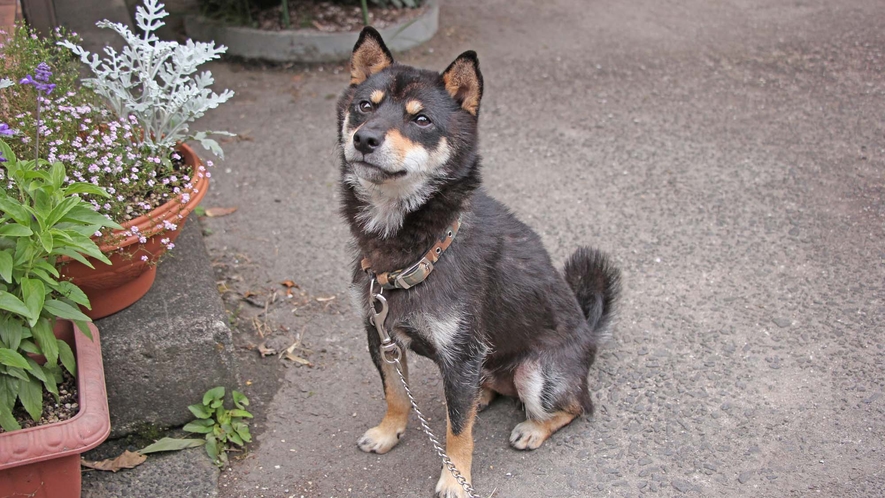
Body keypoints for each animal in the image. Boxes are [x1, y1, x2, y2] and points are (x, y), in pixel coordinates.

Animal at [338, 28, 620, 498]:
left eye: (421, 120)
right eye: (365, 106)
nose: (365, 139)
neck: (419, 245)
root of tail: (589, 331)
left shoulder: (460, 354)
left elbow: (457, 432)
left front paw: (455, 479)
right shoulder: (382, 335)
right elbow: (395, 393)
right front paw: (388, 431)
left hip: (538, 376)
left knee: (576, 406)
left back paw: (533, 428)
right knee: (483, 395)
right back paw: (485, 397)